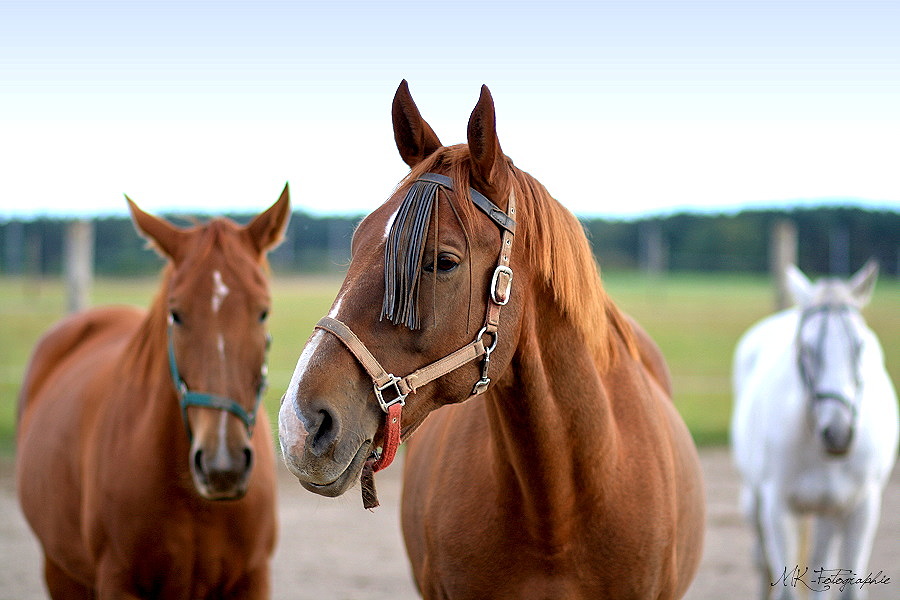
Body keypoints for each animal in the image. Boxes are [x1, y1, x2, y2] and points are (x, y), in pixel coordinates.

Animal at [15, 185, 290, 596]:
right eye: (176, 314)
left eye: (263, 312)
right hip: (59, 571)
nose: (222, 465)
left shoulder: (252, 579)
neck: (194, 501)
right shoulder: (117, 581)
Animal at [736, 262, 896, 600]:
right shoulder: (776, 507)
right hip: (754, 501)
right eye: (807, 349)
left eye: (860, 346)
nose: (837, 433)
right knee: (762, 560)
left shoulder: (861, 508)